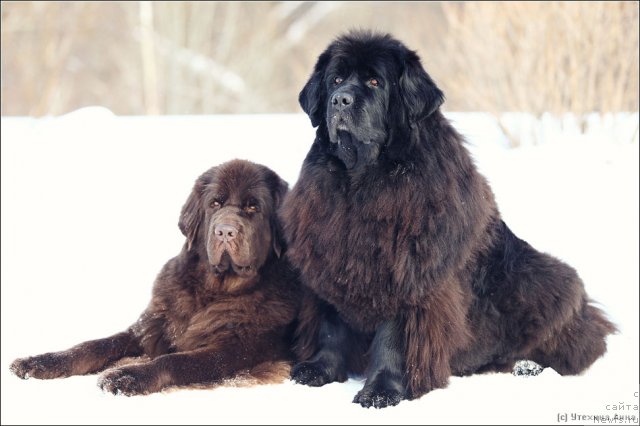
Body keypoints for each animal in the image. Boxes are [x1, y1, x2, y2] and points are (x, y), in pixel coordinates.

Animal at [10, 160, 300, 396]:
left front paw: (128, 375)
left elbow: (175, 360)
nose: (225, 231)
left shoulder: (235, 349)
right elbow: (93, 346)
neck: (213, 290)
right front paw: (40, 362)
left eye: (253, 207)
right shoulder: (152, 326)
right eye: (215, 204)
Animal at [280, 31, 616, 408]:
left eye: (374, 82)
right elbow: (330, 325)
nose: (340, 100)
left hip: (546, 278)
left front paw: (381, 390)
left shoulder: (407, 273)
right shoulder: (329, 256)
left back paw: (527, 365)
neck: (361, 181)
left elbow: (392, 337)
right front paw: (318, 370)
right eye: (336, 80)